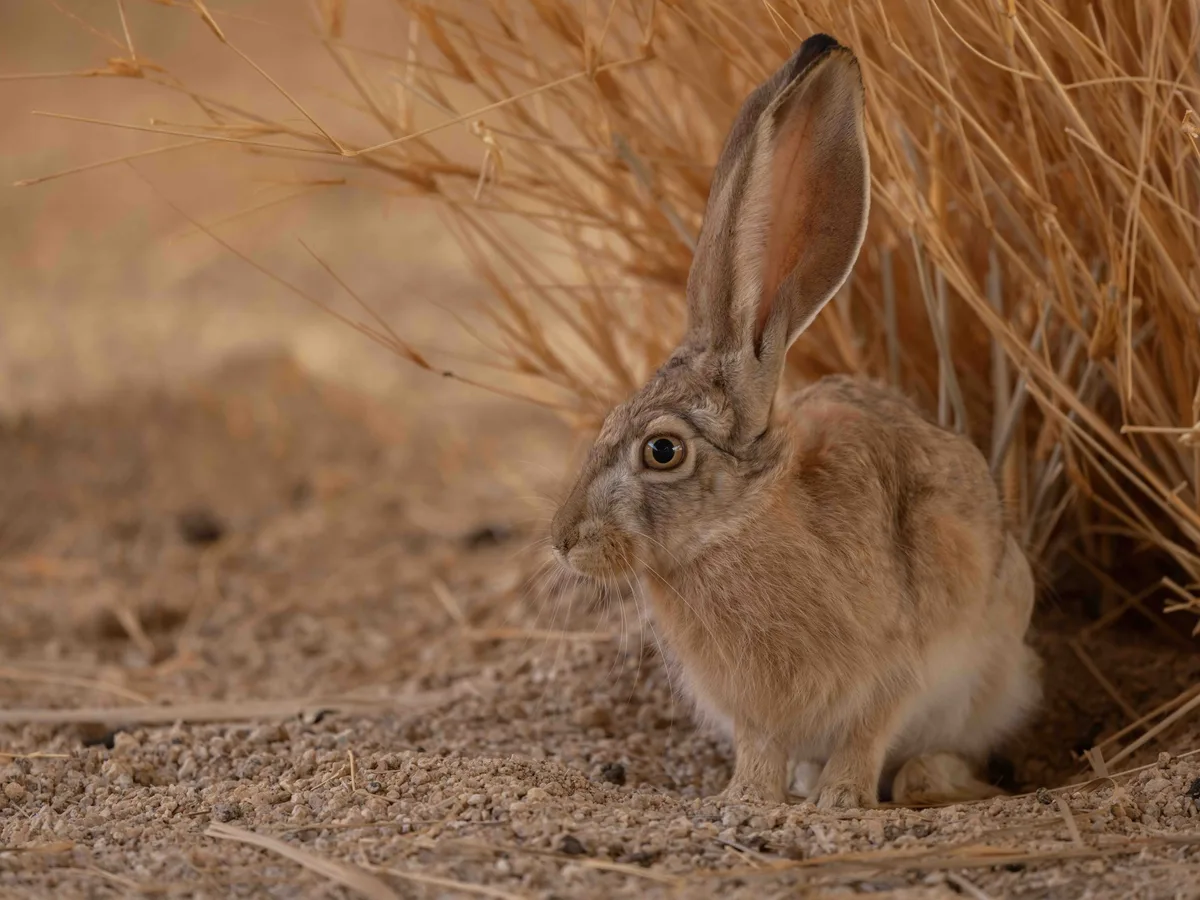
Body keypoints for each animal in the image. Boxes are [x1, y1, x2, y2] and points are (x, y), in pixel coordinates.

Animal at [549, 33, 1041, 809]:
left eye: (663, 451)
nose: (564, 541)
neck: (735, 528)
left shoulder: (899, 665)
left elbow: (868, 730)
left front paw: (841, 800)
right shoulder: (750, 709)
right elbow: (761, 746)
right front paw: (747, 799)